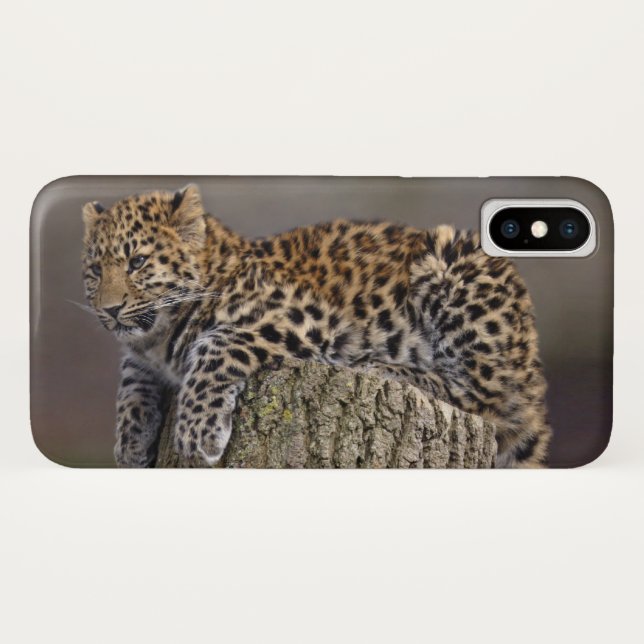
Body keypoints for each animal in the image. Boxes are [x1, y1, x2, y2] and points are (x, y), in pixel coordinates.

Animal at [81, 184, 551, 468]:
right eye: (94, 271)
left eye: (138, 262)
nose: (110, 310)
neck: (160, 336)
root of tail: (531, 360)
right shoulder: (143, 356)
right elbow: (131, 381)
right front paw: (131, 442)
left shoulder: (302, 316)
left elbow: (215, 345)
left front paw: (198, 434)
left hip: (453, 262)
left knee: (487, 397)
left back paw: (384, 367)